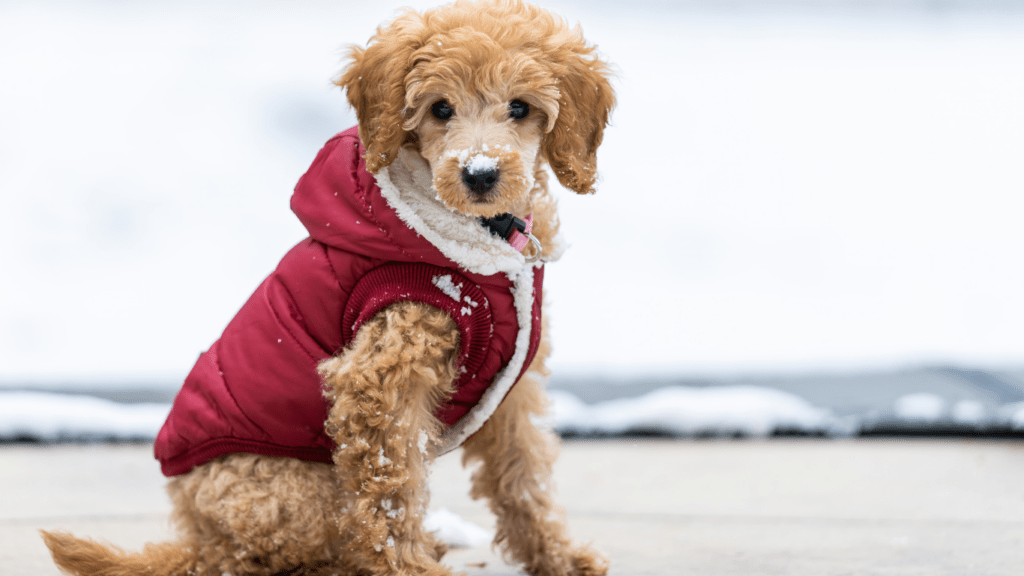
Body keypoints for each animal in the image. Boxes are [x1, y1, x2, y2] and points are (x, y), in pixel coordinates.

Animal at [44, 2, 610, 569]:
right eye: (441, 109)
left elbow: (523, 475)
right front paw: (407, 569)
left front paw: (559, 559)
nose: (480, 173)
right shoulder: (380, 381)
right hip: (296, 489)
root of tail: (202, 542)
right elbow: (390, 495)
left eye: (519, 107)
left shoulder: (511, 391)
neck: (478, 243)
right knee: (307, 548)